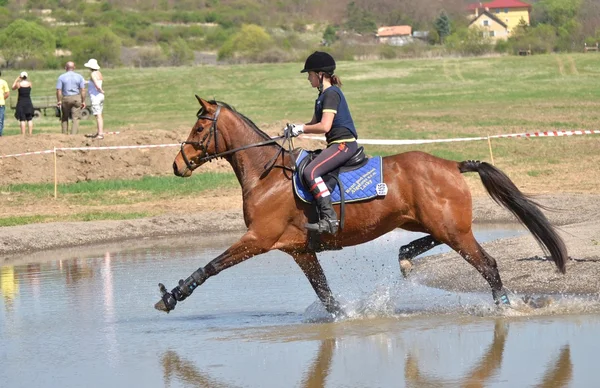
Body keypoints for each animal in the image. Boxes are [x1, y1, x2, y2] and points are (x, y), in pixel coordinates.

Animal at [154, 96, 568, 316]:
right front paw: (344, 317)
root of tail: (452, 164)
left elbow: (212, 266)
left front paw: (171, 297)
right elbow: (326, 295)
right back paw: (404, 256)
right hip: (429, 222)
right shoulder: (300, 251)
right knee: (432, 241)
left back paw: (504, 307)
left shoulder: (258, 238)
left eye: (198, 129)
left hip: (452, 229)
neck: (265, 175)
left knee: (488, 265)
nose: (176, 165)